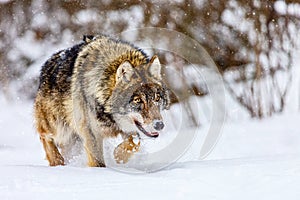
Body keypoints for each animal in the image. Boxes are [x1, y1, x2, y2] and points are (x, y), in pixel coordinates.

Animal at [34, 34, 170, 167]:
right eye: (137, 100)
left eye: (157, 98)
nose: (159, 125)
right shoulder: (92, 133)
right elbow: (98, 163)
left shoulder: (128, 129)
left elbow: (134, 142)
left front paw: (119, 156)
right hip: (59, 128)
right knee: (45, 136)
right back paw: (57, 161)